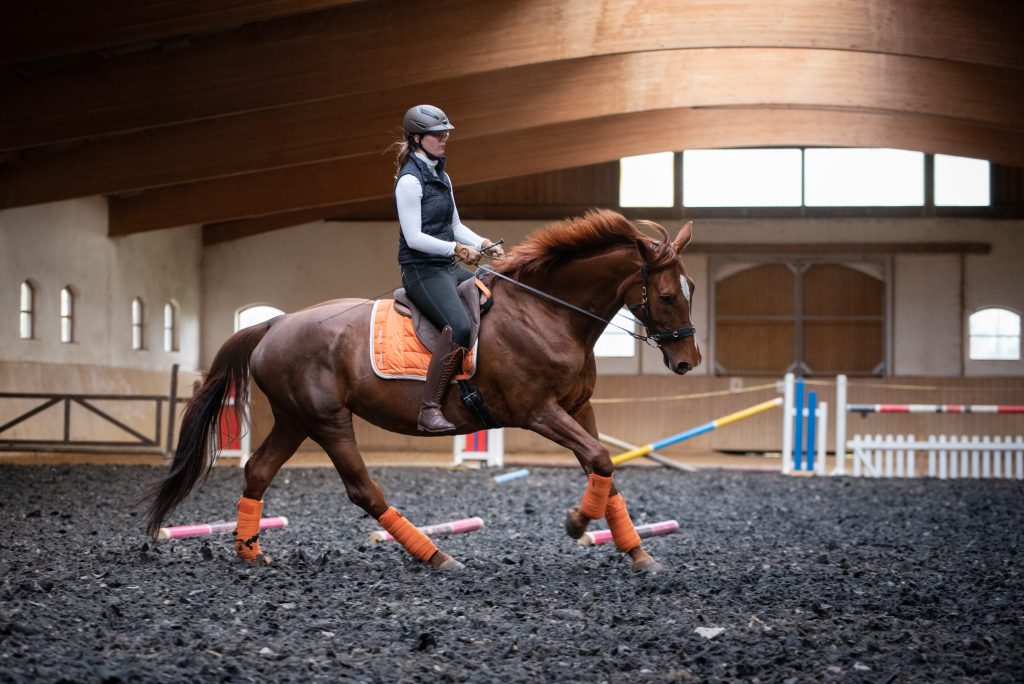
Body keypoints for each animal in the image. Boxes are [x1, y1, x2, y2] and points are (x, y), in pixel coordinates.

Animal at [146, 208, 704, 573]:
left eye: (691, 290)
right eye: (668, 295)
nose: (687, 362)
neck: (548, 313)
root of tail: (274, 324)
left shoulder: (578, 408)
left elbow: (602, 468)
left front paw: (638, 553)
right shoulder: (537, 411)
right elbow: (601, 460)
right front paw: (575, 523)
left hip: (294, 418)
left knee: (259, 471)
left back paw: (250, 551)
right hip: (327, 419)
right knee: (362, 490)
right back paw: (437, 555)